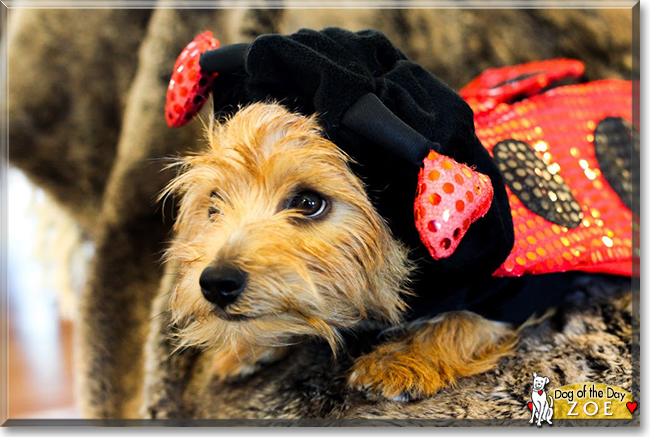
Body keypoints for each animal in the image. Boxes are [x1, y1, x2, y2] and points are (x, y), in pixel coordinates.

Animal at [162, 101, 516, 398]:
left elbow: (463, 319)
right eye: (213, 203)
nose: (216, 282)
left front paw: (401, 357)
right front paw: (247, 346)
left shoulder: (500, 285)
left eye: (309, 203)